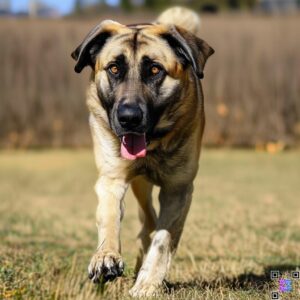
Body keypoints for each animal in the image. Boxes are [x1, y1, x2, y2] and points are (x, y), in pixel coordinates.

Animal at [71, 7, 214, 298]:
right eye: (114, 68)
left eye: (155, 70)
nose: (128, 118)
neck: (153, 145)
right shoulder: (112, 179)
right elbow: (110, 217)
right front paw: (105, 257)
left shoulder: (178, 190)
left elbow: (163, 240)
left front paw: (148, 283)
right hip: (140, 186)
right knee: (146, 223)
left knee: (152, 227)